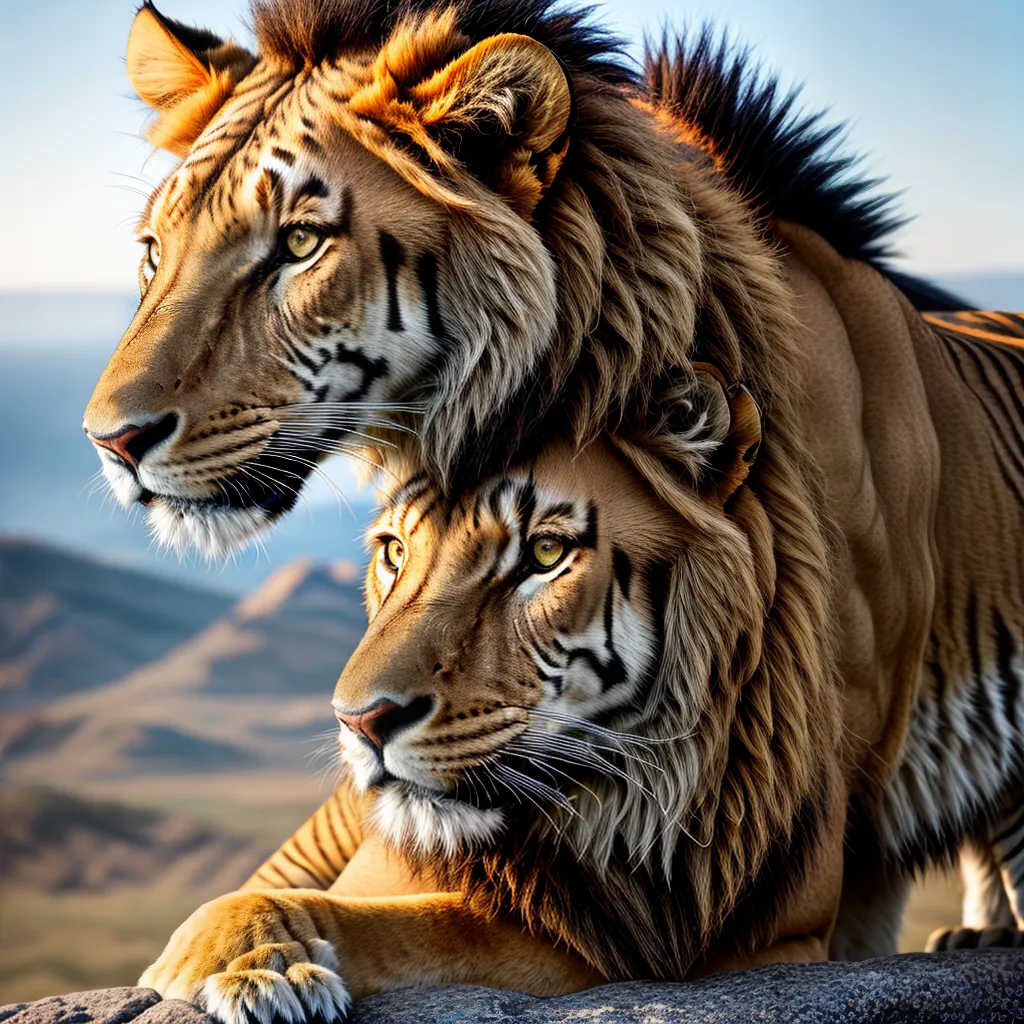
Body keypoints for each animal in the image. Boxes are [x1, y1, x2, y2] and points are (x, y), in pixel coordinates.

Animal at [137, 325, 1024, 1022]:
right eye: (393, 552)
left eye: (545, 554)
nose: (361, 722)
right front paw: (254, 966)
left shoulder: (703, 938)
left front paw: (255, 967)